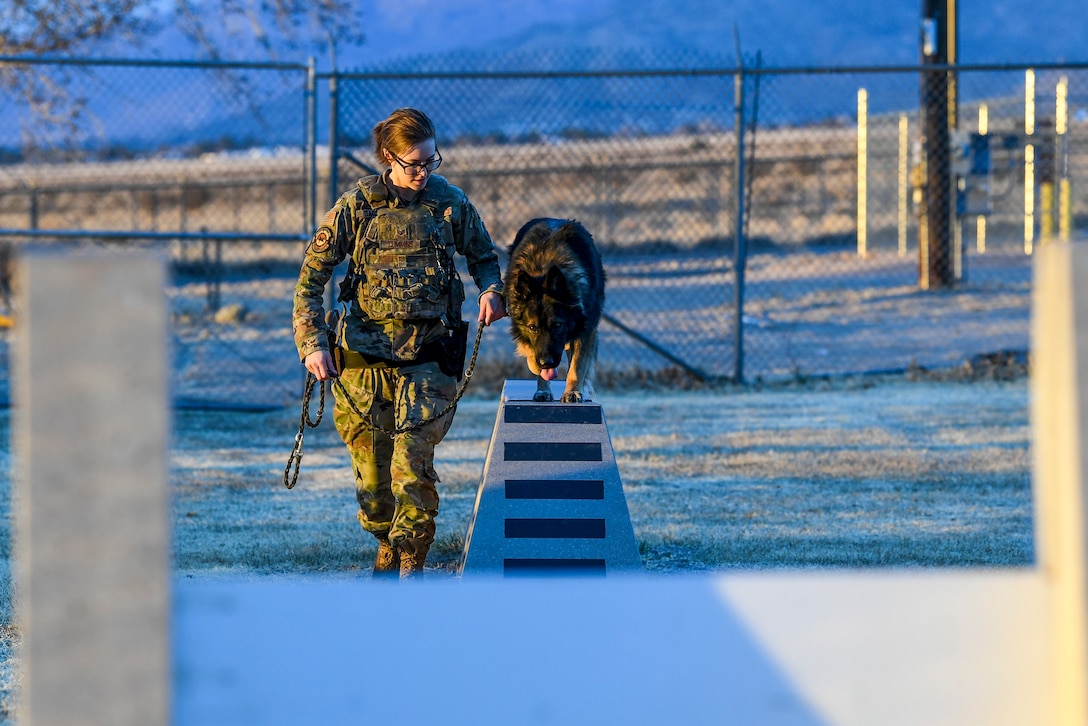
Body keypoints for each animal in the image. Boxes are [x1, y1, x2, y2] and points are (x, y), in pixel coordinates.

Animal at [504, 218, 609, 407]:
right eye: (532, 327)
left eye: (557, 324)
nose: (546, 363)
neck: (544, 268)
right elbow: (533, 357)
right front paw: (542, 388)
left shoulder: (585, 330)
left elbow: (577, 366)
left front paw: (573, 392)